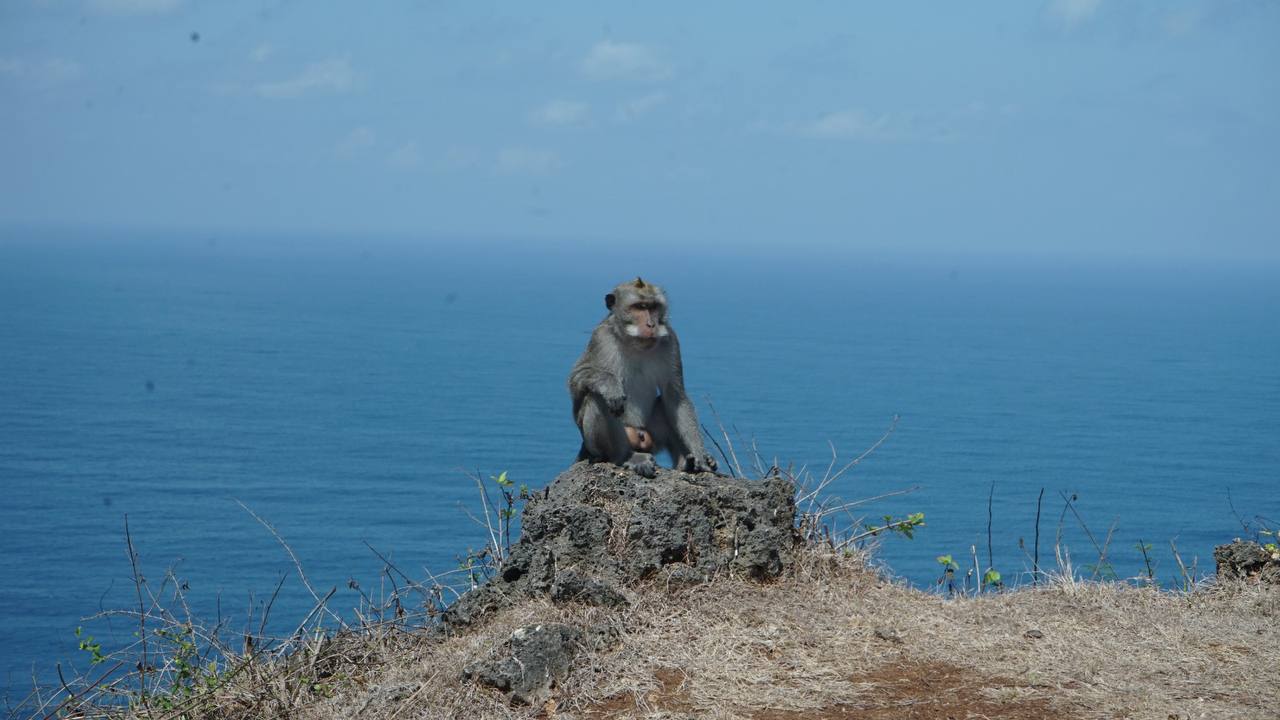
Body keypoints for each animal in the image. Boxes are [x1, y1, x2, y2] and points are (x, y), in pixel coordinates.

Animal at [568, 277, 718, 478]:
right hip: (617, 439)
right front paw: (610, 385)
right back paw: (626, 457)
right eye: (639, 307)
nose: (651, 325)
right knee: (597, 398)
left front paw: (700, 455)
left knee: (665, 403)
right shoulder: (600, 338)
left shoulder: (671, 340)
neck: (635, 343)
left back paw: (685, 463)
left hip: (652, 435)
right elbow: (576, 381)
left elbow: (675, 395)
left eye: (653, 307)